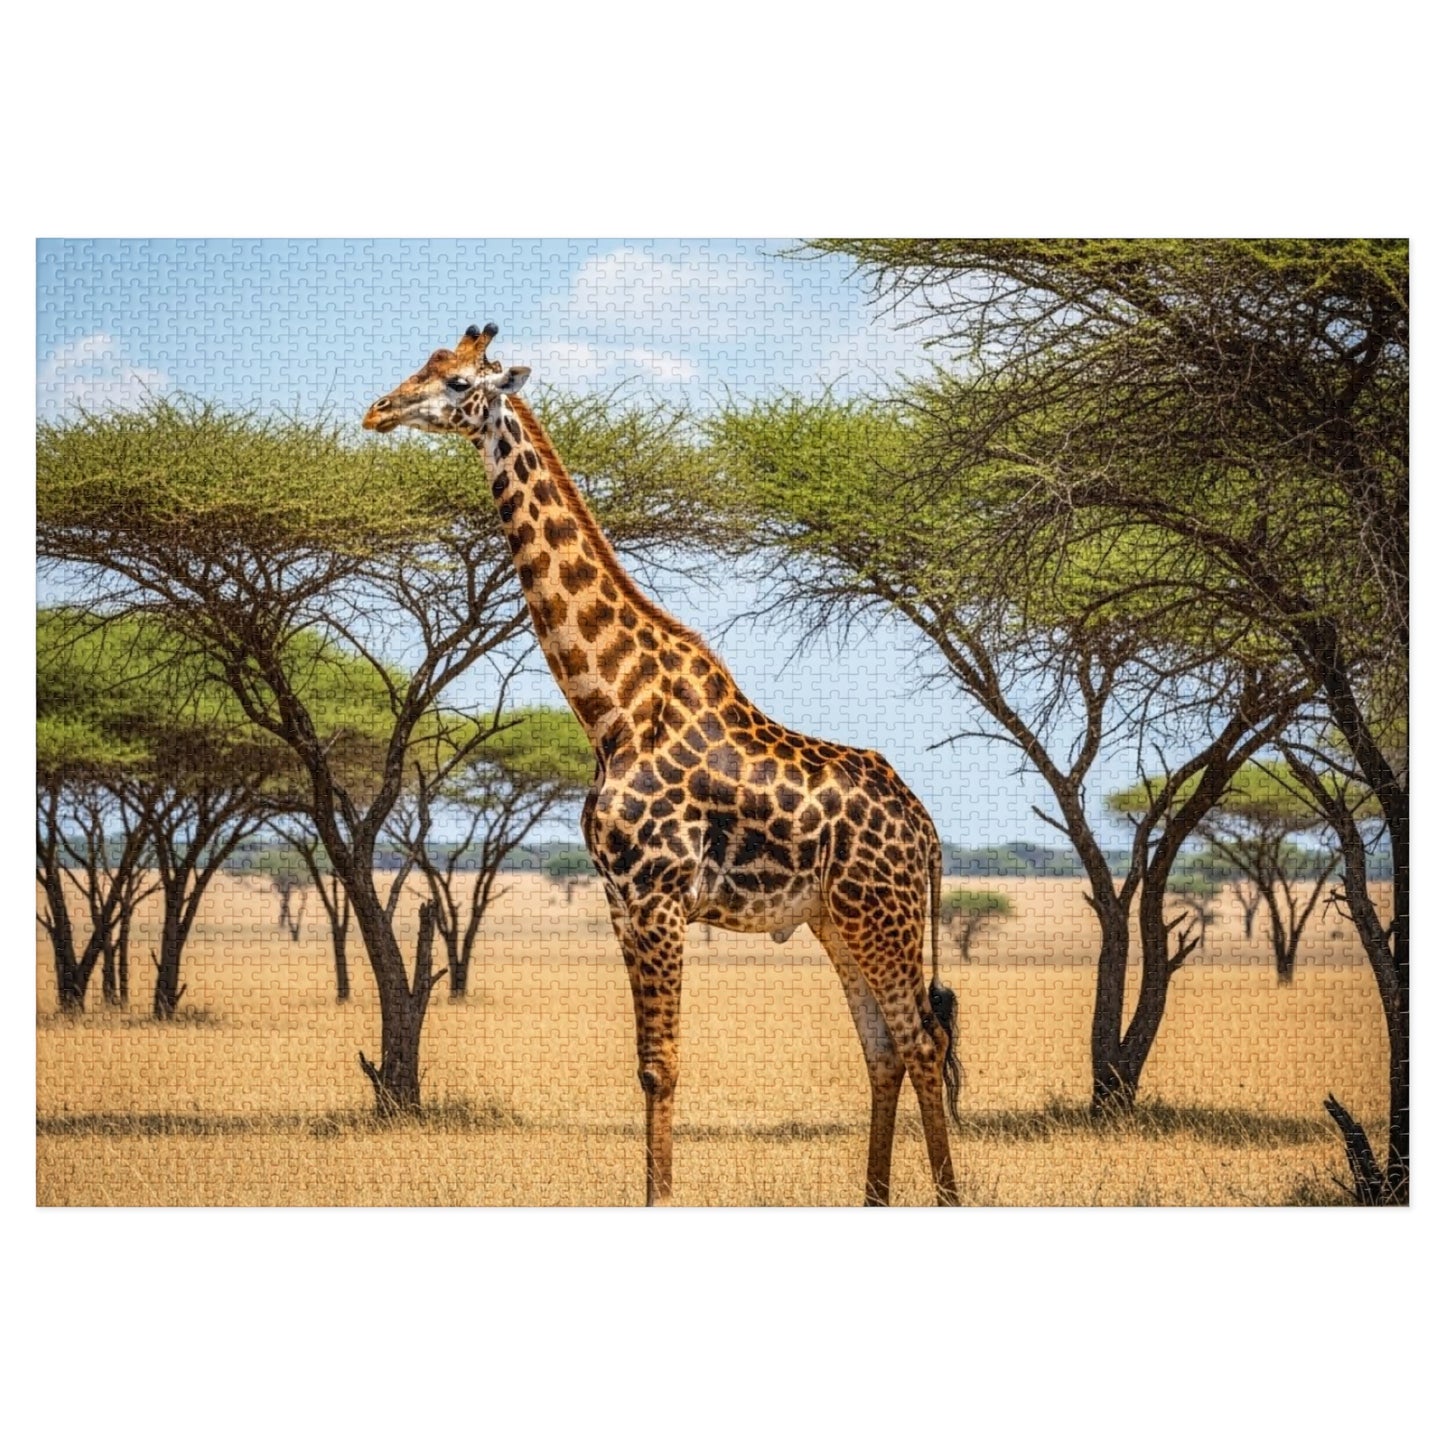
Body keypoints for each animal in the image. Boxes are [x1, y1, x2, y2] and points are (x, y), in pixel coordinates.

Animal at [364, 324, 963, 1205]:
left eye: (460, 382)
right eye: (424, 365)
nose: (378, 409)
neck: (612, 707)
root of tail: (926, 830)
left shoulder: (656, 894)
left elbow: (660, 1066)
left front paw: (661, 1197)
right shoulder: (620, 898)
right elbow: (647, 1064)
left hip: (880, 915)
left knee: (921, 1041)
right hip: (836, 918)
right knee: (883, 1046)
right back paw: (873, 1200)